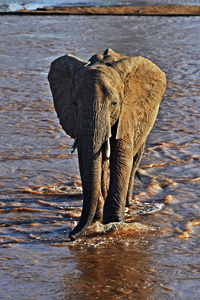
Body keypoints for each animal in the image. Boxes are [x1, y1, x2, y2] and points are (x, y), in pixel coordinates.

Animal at [48, 48, 166, 240]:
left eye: (114, 104)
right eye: (74, 103)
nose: (71, 236)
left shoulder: (127, 112)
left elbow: (121, 158)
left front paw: (113, 224)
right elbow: (87, 158)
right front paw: (98, 219)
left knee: (135, 158)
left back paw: (128, 203)